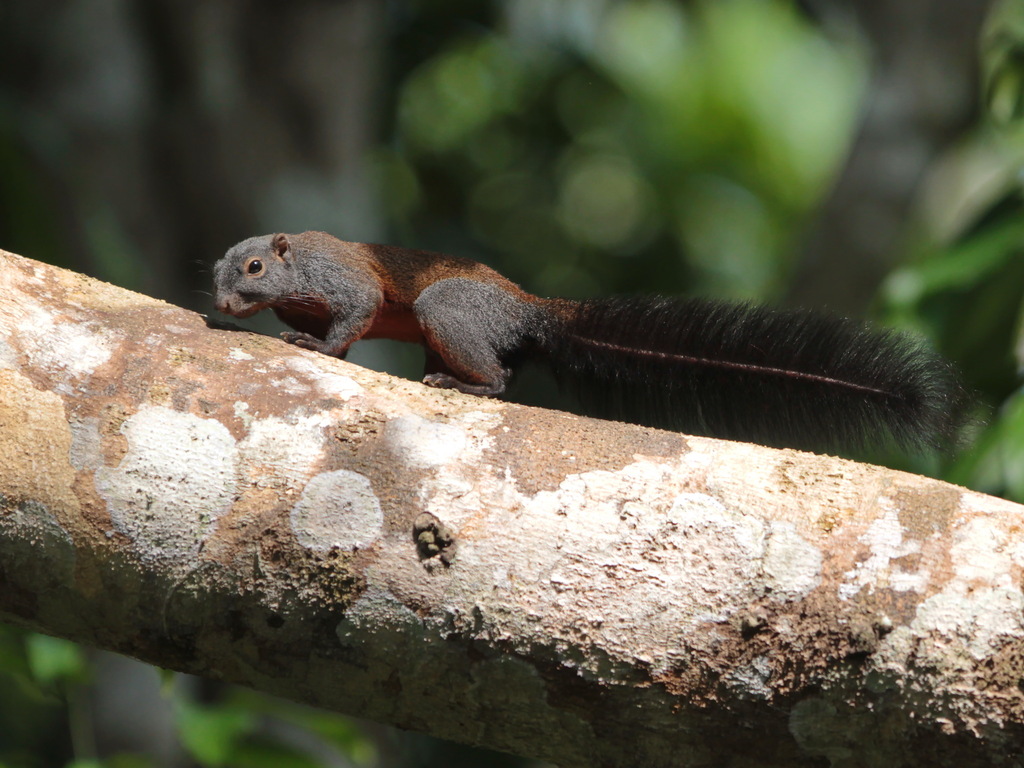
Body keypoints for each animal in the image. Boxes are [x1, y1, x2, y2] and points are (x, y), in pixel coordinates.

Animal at [213, 231, 969, 453]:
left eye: (253, 270)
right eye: (217, 269)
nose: (220, 303)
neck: (297, 268)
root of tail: (532, 312)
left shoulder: (344, 282)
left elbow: (358, 315)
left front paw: (317, 348)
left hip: (447, 308)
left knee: (498, 379)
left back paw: (466, 382)